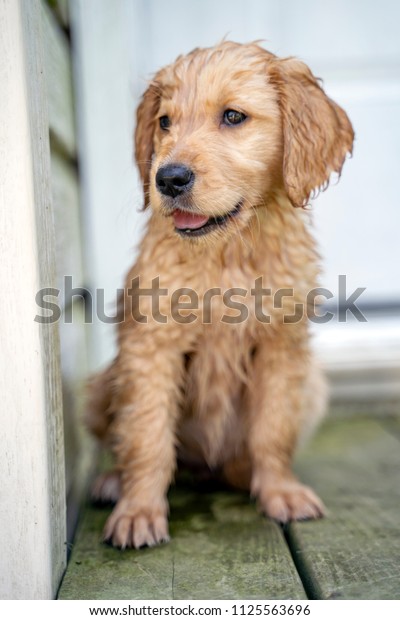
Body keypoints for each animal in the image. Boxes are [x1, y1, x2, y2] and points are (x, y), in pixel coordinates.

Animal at [87, 42, 354, 548]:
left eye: (233, 116)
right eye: (164, 122)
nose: (168, 179)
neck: (229, 249)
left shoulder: (280, 344)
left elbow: (273, 427)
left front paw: (280, 491)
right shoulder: (152, 344)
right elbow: (147, 433)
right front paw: (139, 511)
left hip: (313, 385)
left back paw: (243, 474)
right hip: (102, 382)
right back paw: (113, 481)